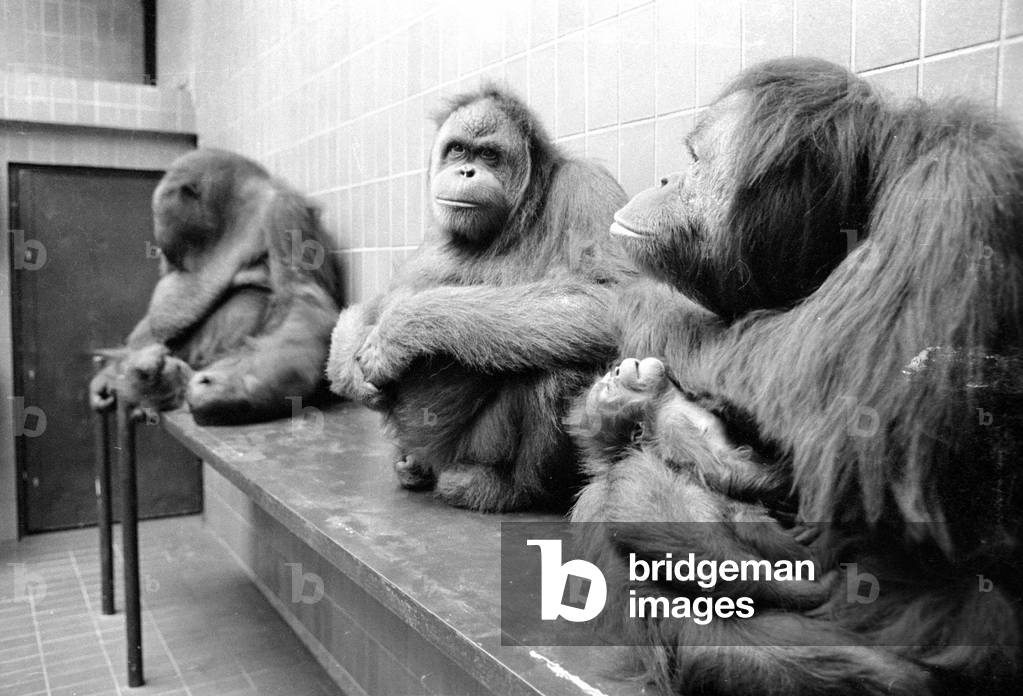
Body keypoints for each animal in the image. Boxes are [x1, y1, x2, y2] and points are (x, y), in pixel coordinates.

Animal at [90, 148, 344, 425]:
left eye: (172, 250)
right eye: (170, 256)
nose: (162, 256)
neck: (230, 217)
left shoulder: (284, 209)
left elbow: (303, 299)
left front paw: (230, 390)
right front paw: (105, 377)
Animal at [327, 84, 637, 512]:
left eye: (489, 155)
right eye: (458, 150)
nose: (466, 171)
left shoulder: (587, 185)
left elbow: (613, 296)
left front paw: (400, 329)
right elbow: (378, 300)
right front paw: (351, 374)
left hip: (475, 446)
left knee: (562, 370)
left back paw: (501, 488)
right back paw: (414, 467)